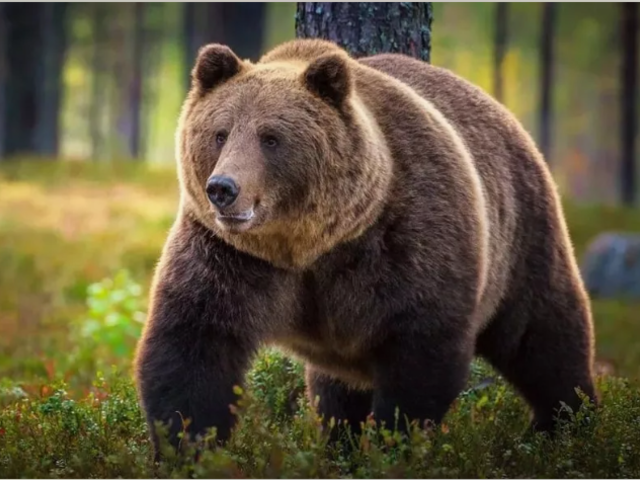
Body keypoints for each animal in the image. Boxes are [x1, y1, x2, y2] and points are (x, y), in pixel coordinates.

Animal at [134, 38, 598, 458]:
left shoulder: (405, 240)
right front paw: (187, 449)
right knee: (334, 392)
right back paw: (341, 442)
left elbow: (420, 353)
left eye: (271, 137)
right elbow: (194, 346)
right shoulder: (232, 258)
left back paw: (566, 424)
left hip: (521, 233)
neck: (310, 245)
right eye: (220, 133)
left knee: (543, 335)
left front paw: (397, 442)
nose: (223, 188)